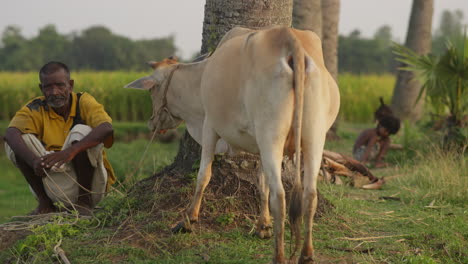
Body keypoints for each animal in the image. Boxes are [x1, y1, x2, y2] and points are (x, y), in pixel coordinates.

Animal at [125, 26, 340, 264]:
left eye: (152, 90)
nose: (152, 122)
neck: (201, 77)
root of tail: (289, 37)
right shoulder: (260, 147)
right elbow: (261, 183)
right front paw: (263, 226)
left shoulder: (209, 126)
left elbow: (203, 175)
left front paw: (189, 219)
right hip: (314, 137)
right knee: (310, 194)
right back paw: (307, 254)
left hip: (271, 135)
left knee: (280, 197)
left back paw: (279, 256)